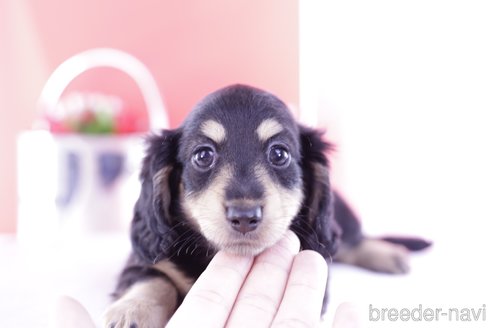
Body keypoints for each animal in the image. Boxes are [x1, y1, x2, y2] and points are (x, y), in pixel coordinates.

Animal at [104, 84, 430, 326]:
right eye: (203, 155)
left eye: (279, 154)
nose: (245, 216)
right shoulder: (142, 261)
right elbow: (155, 279)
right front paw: (132, 310)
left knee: (351, 240)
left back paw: (388, 254)